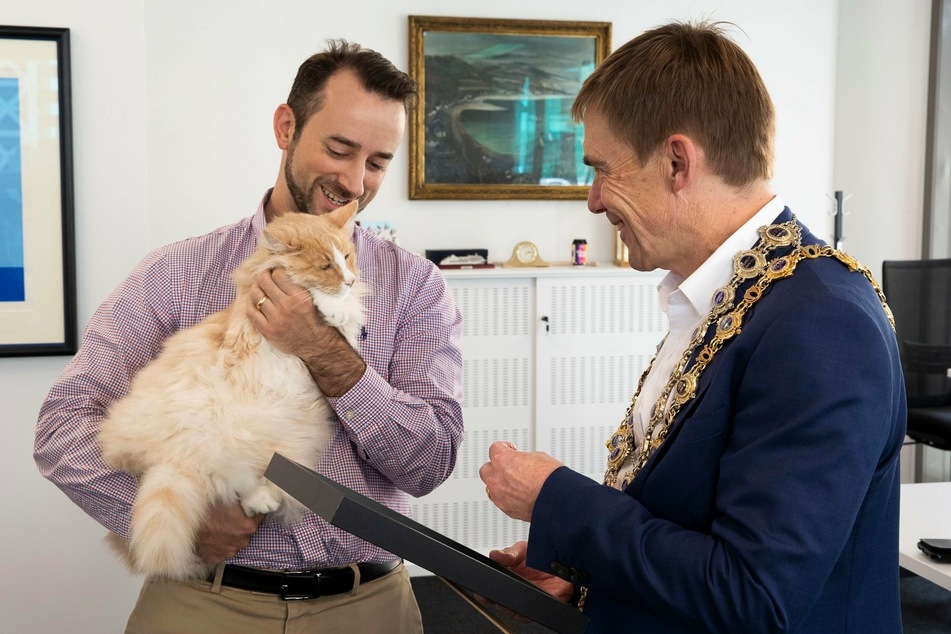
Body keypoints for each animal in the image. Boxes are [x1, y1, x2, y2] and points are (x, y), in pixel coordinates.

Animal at [96, 201, 364, 576]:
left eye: (348, 256)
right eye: (326, 265)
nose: (350, 280)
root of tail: (173, 458)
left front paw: (340, 307)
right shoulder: (250, 305)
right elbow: (308, 293)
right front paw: (330, 305)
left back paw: (265, 499)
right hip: (216, 433)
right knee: (230, 482)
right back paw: (259, 499)